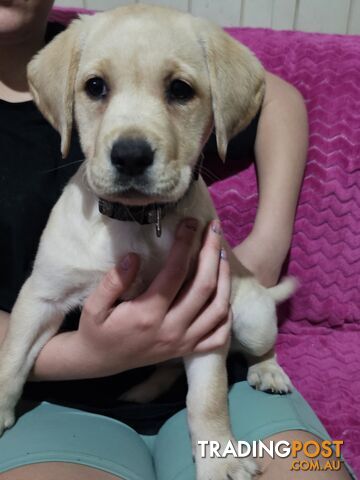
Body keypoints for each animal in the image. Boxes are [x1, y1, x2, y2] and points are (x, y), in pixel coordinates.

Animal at [0, 4, 292, 480]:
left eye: (180, 90)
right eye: (95, 87)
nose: (131, 156)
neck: (138, 222)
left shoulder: (205, 317)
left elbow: (208, 398)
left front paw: (221, 457)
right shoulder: (41, 296)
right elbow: (11, 358)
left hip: (250, 315)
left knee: (260, 347)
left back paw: (267, 371)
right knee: (168, 365)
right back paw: (142, 391)